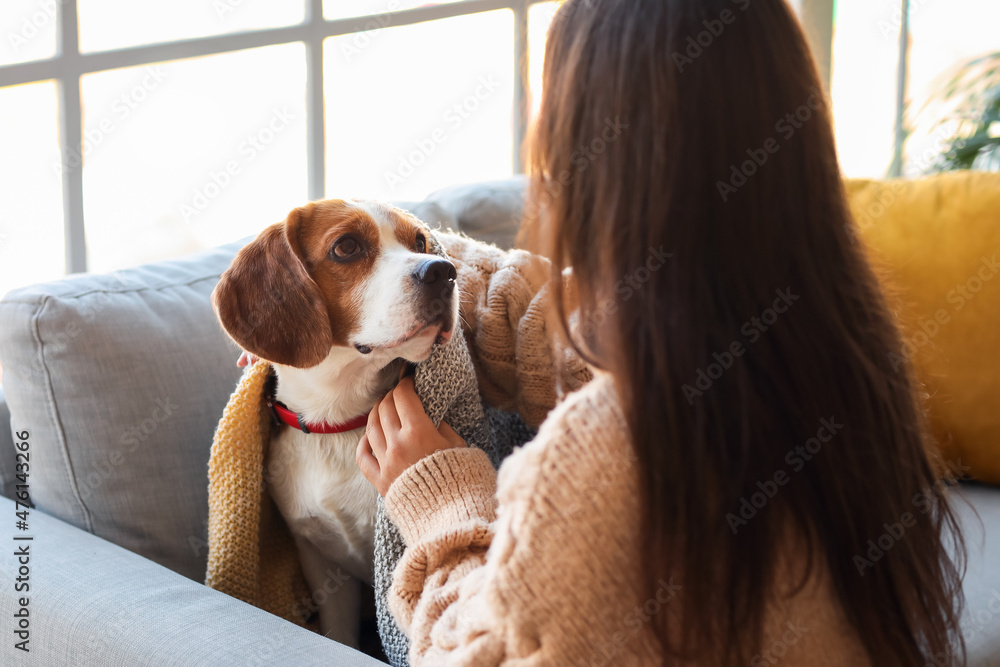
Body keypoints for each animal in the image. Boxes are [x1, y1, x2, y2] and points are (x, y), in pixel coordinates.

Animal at [214, 200, 460, 648]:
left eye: (420, 242)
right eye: (346, 246)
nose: (443, 270)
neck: (338, 424)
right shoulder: (324, 566)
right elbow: (340, 634)